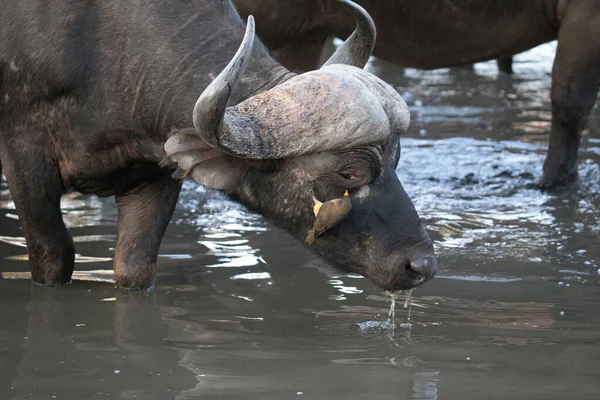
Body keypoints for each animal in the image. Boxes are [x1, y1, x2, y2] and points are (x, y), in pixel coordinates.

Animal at [0, 1, 436, 292]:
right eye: (349, 174)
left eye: (396, 161)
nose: (422, 265)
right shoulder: (23, 155)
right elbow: (54, 255)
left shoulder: (155, 176)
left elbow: (134, 266)